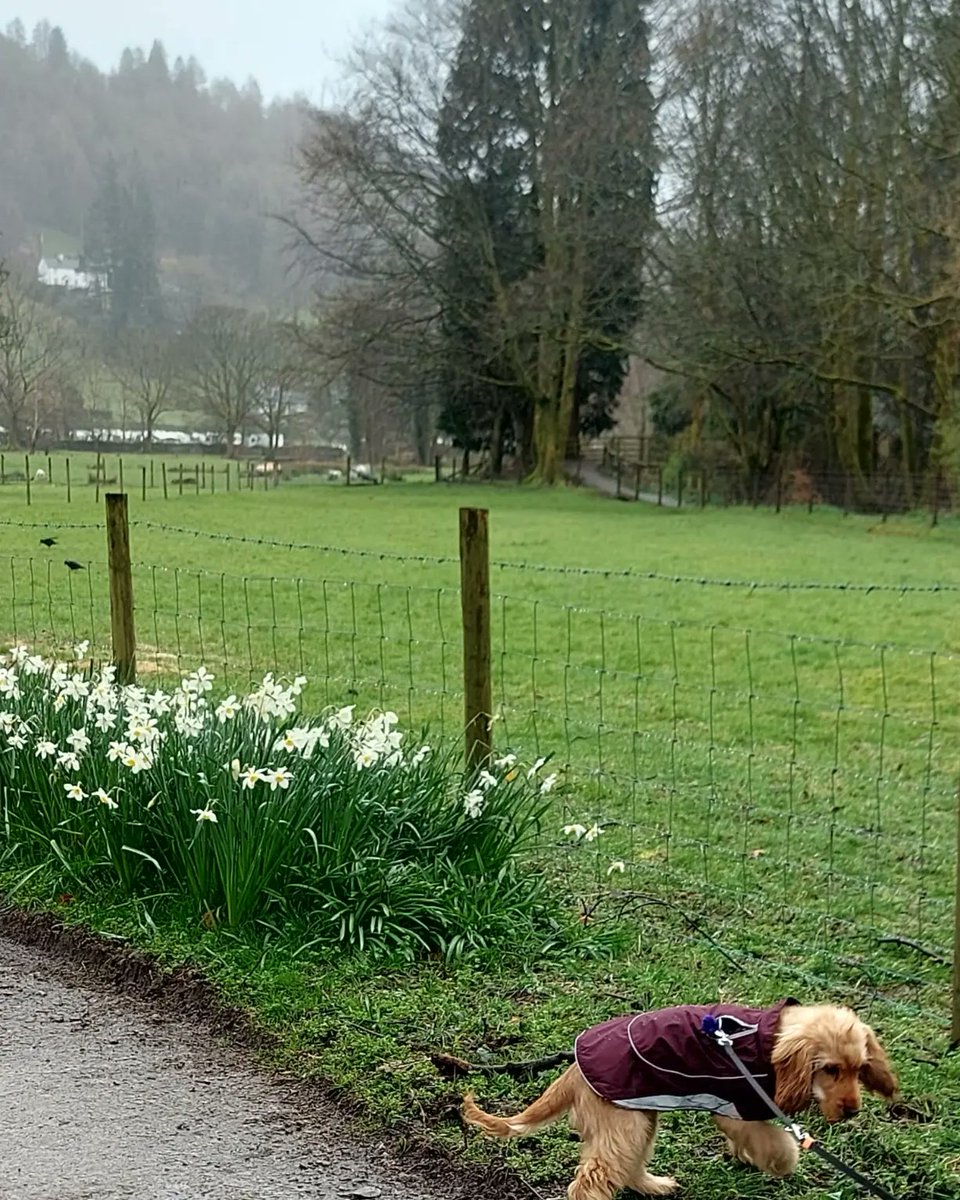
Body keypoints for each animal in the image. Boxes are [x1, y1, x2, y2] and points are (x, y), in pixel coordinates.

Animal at [460, 993, 897, 1200]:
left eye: (859, 1069)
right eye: (830, 1069)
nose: (851, 1112)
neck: (762, 1039)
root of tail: (573, 1069)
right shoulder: (734, 1107)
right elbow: (774, 1141)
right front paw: (785, 1162)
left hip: (640, 1119)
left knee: (628, 1167)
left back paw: (655, 1185)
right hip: (624, 1123)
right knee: (590, 1181)